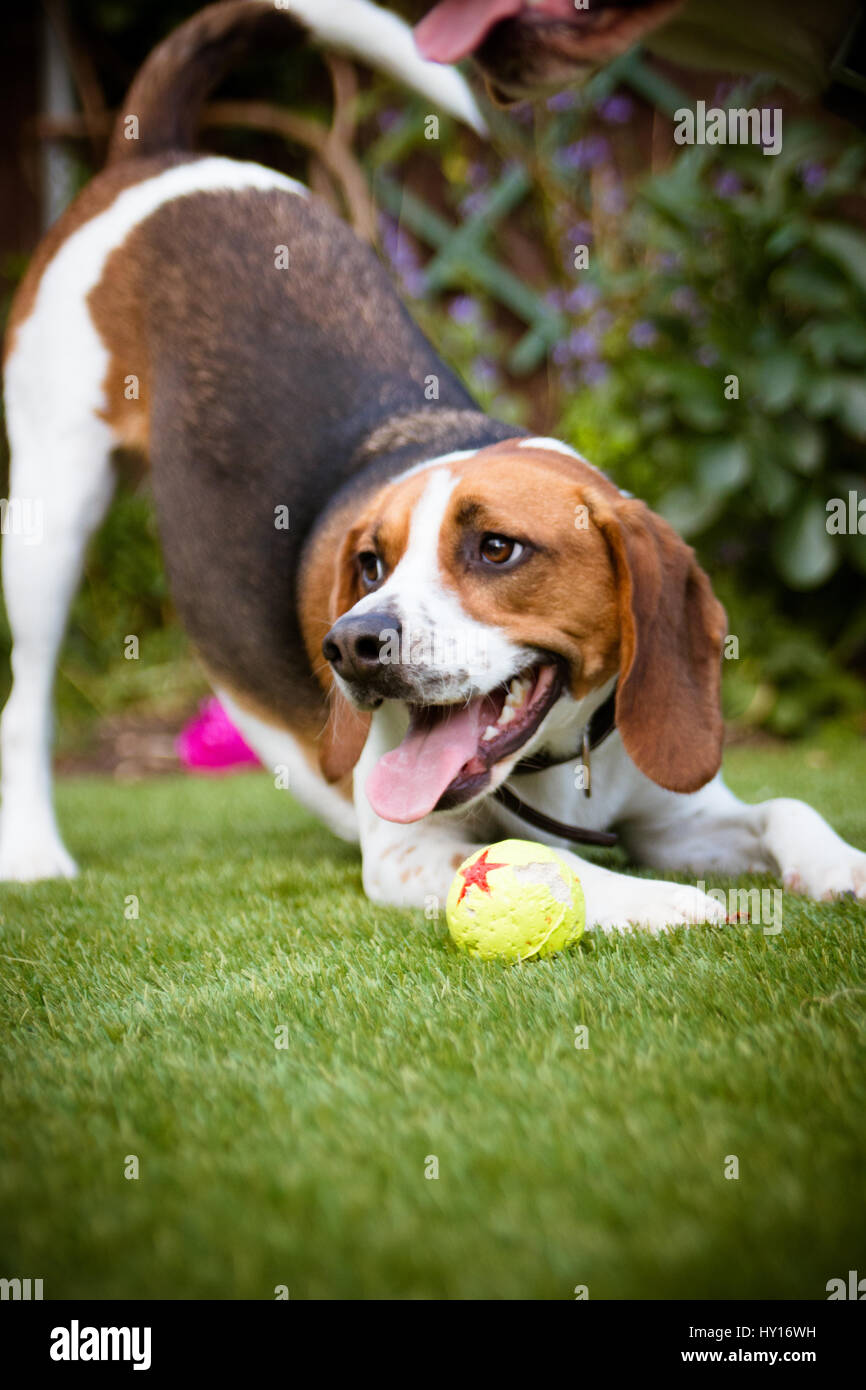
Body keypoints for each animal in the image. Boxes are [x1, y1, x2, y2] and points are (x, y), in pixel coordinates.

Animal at [1, 2, 866, 934]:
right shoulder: (410, 852)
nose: (349, 643)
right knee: (27, 700)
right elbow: (548, 864)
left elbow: (790, 809)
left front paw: (843, 867)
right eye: (369, 563)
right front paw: (670, 903)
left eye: (497, 549)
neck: (552, 764)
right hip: (51, 514)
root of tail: (157, 159)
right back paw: (38, 852)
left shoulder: (680, 815)